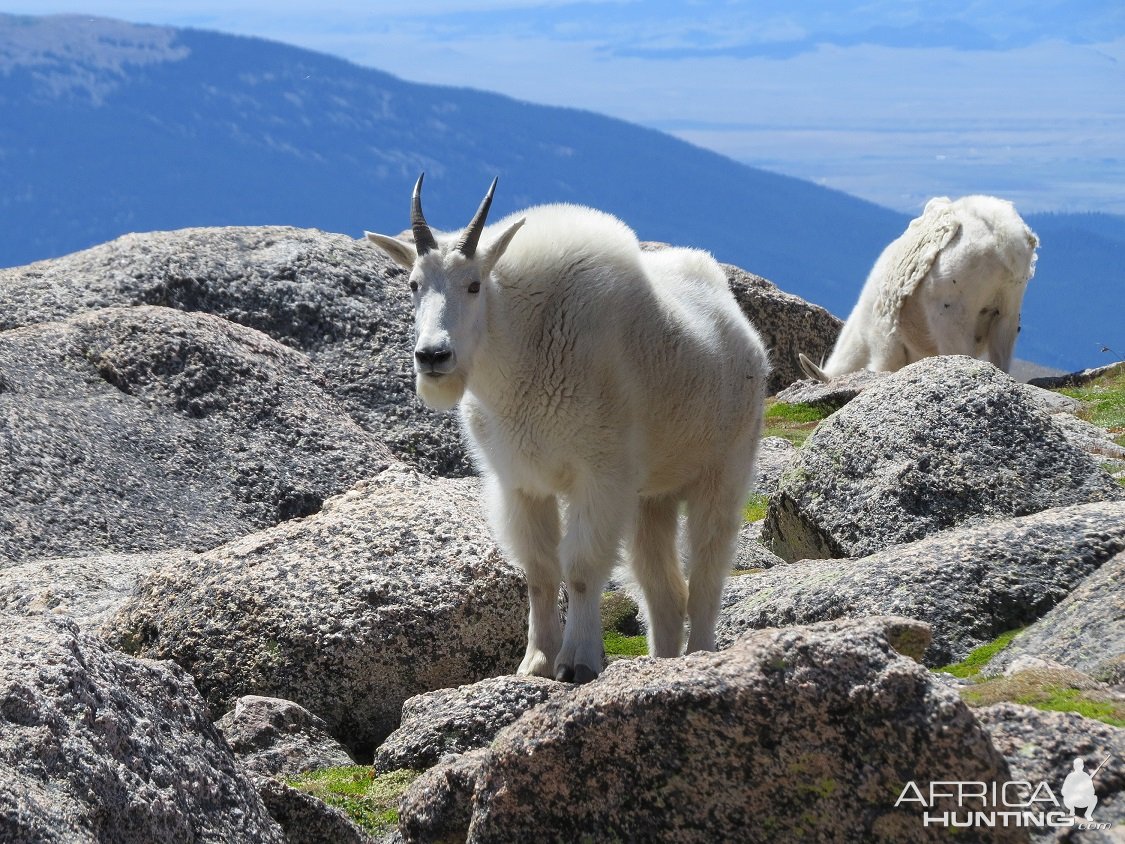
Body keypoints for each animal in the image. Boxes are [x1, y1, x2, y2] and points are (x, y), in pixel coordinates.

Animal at [364, 175, 769, 684]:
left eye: (474, 285)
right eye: (413, 285)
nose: (433, 356)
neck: (521, 346)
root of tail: (740, 325)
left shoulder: (598, 475)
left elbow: (580, 566)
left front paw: (577, 662)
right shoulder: (520, 481)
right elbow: (539, 570)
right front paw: (535, 662)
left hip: (725, 467)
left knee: (707, 572)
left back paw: (699, 654)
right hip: (651, 497)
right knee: (662, 587)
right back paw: (662, 660)